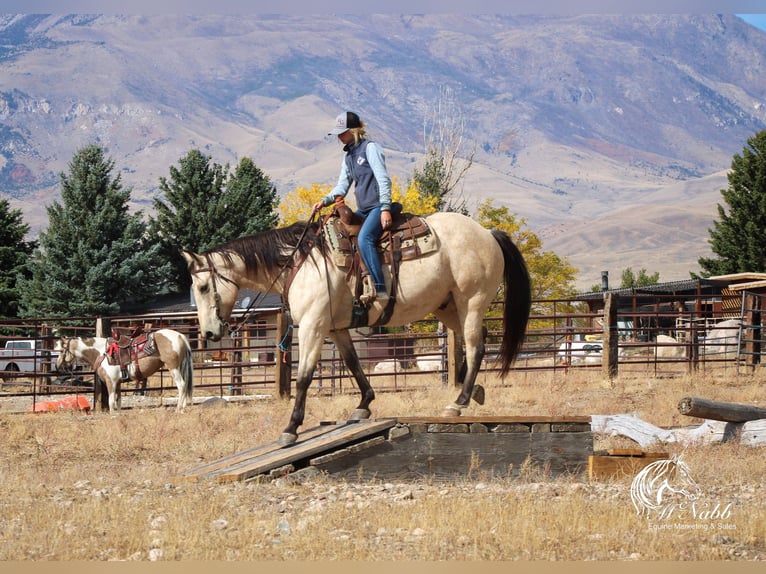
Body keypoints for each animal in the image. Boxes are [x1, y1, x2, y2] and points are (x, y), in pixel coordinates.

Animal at [56, 330, 194, 416]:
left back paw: (178, 409)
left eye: (62, 350)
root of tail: (180, 336)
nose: (57, 366)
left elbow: (111, 401)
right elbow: (118, 401)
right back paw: (183, 409)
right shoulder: (118, 382)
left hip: (173, 368)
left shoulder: (111, 381)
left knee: (181, 385)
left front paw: (112, 415)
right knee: (186, 385)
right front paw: (118, 414)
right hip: (181, 367)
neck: (101, 352)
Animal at [183, 209, 532, 448]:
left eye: (202, 287)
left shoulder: (312, 326)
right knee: (476, 342)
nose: (209, 334)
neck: (300, 261)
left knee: (476, 346)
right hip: (447, 307)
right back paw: (472, 391)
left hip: (471, 301)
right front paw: (363, 404)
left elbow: (304, 377)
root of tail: (487, 233)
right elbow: (352, 364)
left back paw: (458, 403)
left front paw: (291, 429)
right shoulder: (336, 329)